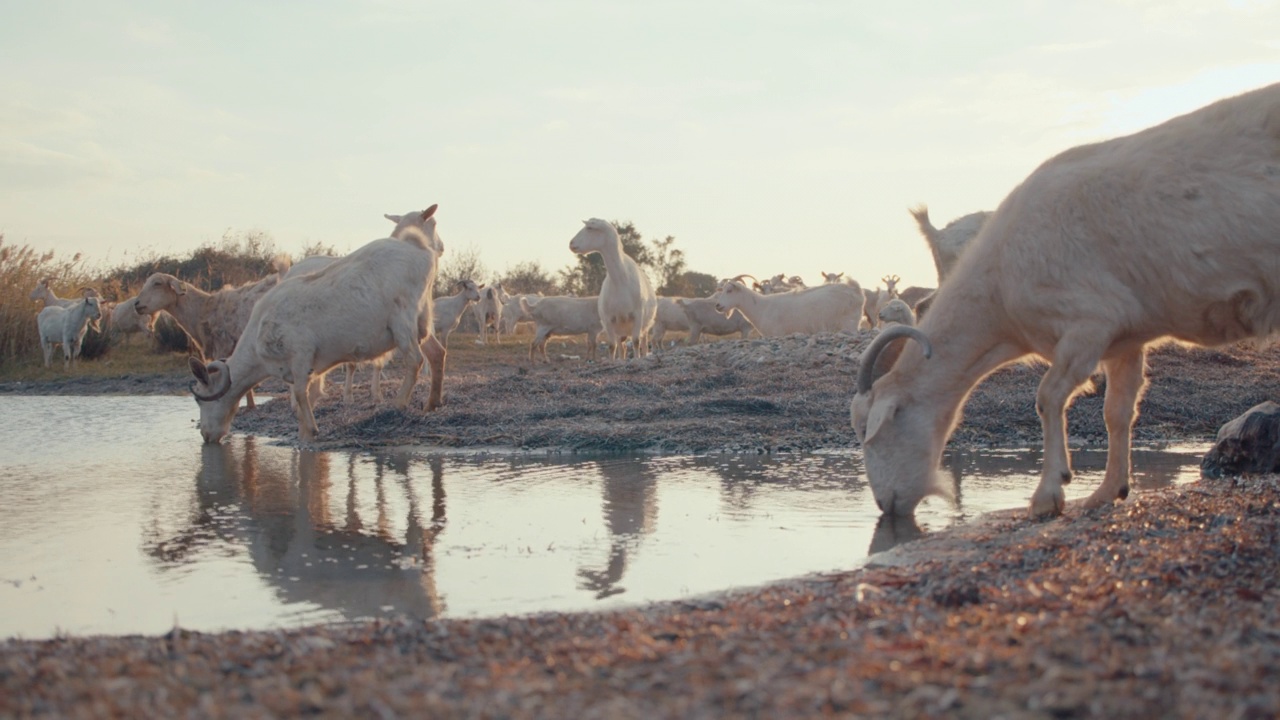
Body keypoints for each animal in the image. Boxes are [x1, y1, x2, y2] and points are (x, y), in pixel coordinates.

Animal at [573, 215, 660, 356]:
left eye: (589, 228)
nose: (571, 244)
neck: (620, 281)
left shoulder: (638, 315)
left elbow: (636, 342)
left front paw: (637, 358)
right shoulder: (609, 320)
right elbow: (611, 346)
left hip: (645, 326)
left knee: (643, 344)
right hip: (620, 329)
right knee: (621, 347)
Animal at [706, 279, 865, 338]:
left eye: (729, 291)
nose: (718, 306)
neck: (761, 307)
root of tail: (855, 289)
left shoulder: (776, 333)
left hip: (849, 323)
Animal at [849, 82, 1280, 515]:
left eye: (871, 430)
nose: (886, 504)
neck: (999, 286)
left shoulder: (1088, 324)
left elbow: (1049, 396)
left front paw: (1048, 494)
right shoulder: (1126, 336)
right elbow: (1117, 410)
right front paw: (1108, 490)